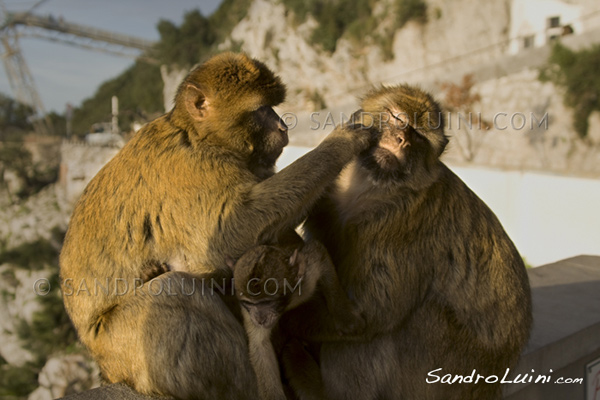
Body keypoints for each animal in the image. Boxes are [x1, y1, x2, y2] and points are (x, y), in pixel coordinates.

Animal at [226, 236, 364, 400]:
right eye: (249, 303)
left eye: (267, 302)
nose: (260, 319)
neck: (285, 305)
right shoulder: (248, 313)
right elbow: (260, 345)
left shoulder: (305, 281)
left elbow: (319, 253)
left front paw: (344, 315)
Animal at [282, 84, 536, 400]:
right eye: (397, 118)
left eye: (419, 136)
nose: (402, 139)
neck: (369, 186)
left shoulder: (402, 223)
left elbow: (372, 314)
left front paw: (289, 323)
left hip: (443, 371)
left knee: (409, 319)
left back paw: (315, 386)